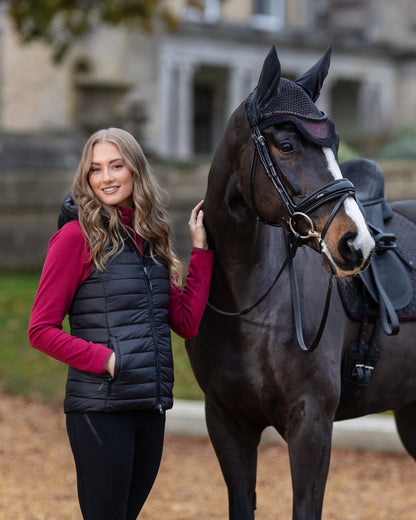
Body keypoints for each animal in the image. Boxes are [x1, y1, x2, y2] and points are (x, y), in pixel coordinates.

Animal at [185, 46, 416, 516]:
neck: (251, 307)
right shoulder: (227, 423)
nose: (357, 244)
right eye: (287, 144)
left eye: (335, 144)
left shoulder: (311, 426)